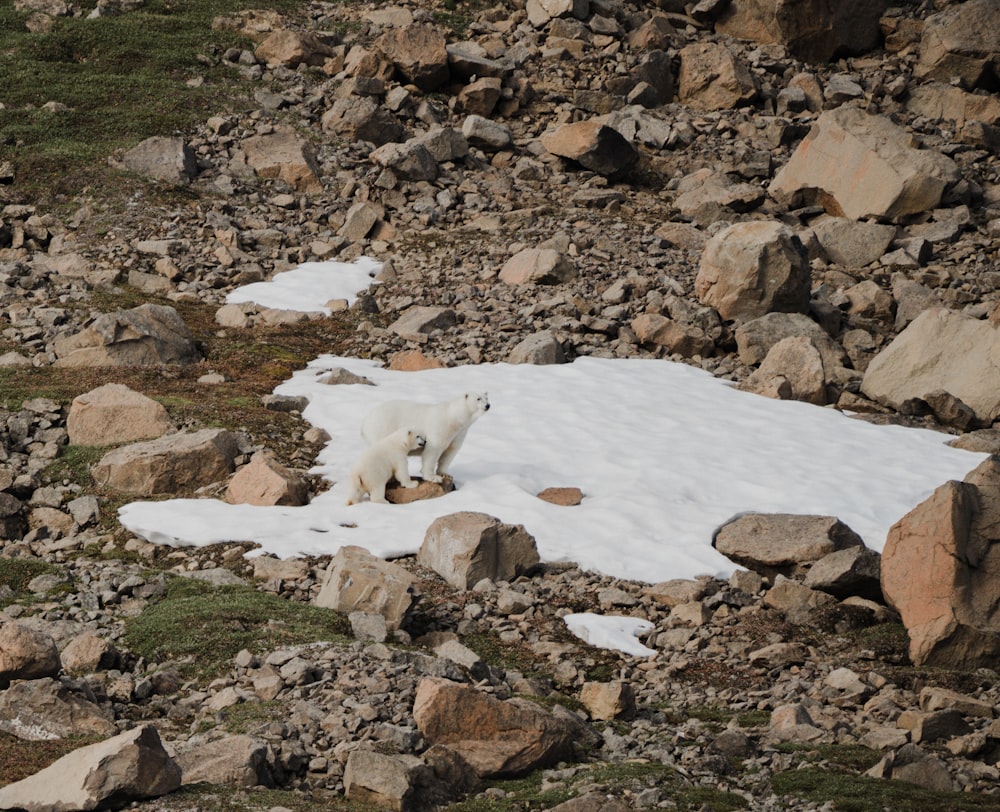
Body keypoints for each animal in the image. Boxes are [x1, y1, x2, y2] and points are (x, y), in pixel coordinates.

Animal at [362, 392, 490, 482]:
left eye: (486, 397)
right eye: (478, 398)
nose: (488, 405)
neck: (454, 418)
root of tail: (365, 422)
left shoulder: (459, 433)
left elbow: (450, 451)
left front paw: (445, 474)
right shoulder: (440, 427)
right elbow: (433, 450)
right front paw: (433, 477)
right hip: (382, 428)